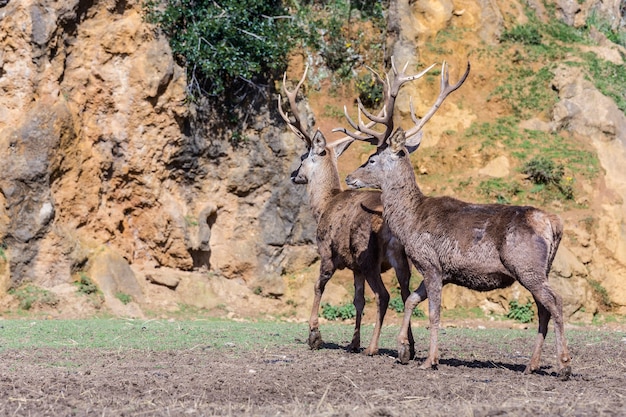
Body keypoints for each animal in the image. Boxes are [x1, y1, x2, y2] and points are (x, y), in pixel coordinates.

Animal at [276, 65, 424, 354]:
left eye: (303, 157)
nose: (293, 175)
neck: (324, 205)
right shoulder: (355, 267)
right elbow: (358, 299)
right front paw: (353, 341)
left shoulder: (326, 252)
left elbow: (318, 287)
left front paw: (314, 335)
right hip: (400, 258)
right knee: (404, 293)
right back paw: (408, 347)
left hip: (369, 256)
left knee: (384, 295)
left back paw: (375, 347)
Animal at [342, 58, 572, 380]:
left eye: (371, 159)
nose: (349, 176)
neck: (410, 222)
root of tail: (555, 224)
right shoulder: (441, 270)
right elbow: (411, 300)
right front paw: (403, 350)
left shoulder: (430, 262)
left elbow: (434, 313)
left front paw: (430, 359)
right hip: (540, 268)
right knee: (543, 309)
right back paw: (531, 365)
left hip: (526, 264)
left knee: (556, 302)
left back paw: (564, 365)